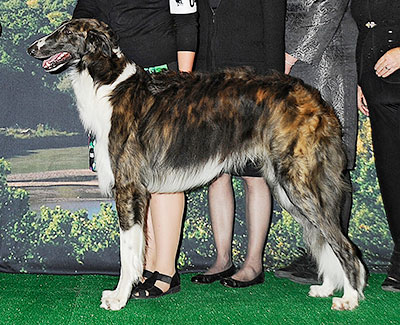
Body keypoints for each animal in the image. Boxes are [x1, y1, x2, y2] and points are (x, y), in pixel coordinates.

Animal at [27, 18, 366, 312]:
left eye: (66, 31)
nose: (31, 48)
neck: (109, 83)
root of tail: (317, 99)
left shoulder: (128, 187)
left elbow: (127, 251)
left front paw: (119, 298)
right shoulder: (142, 191)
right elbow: (139, 249)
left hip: (298, 183)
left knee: (343, 244)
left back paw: (349, 298)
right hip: (288, 187)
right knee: (325, 238)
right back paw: (328, 288)